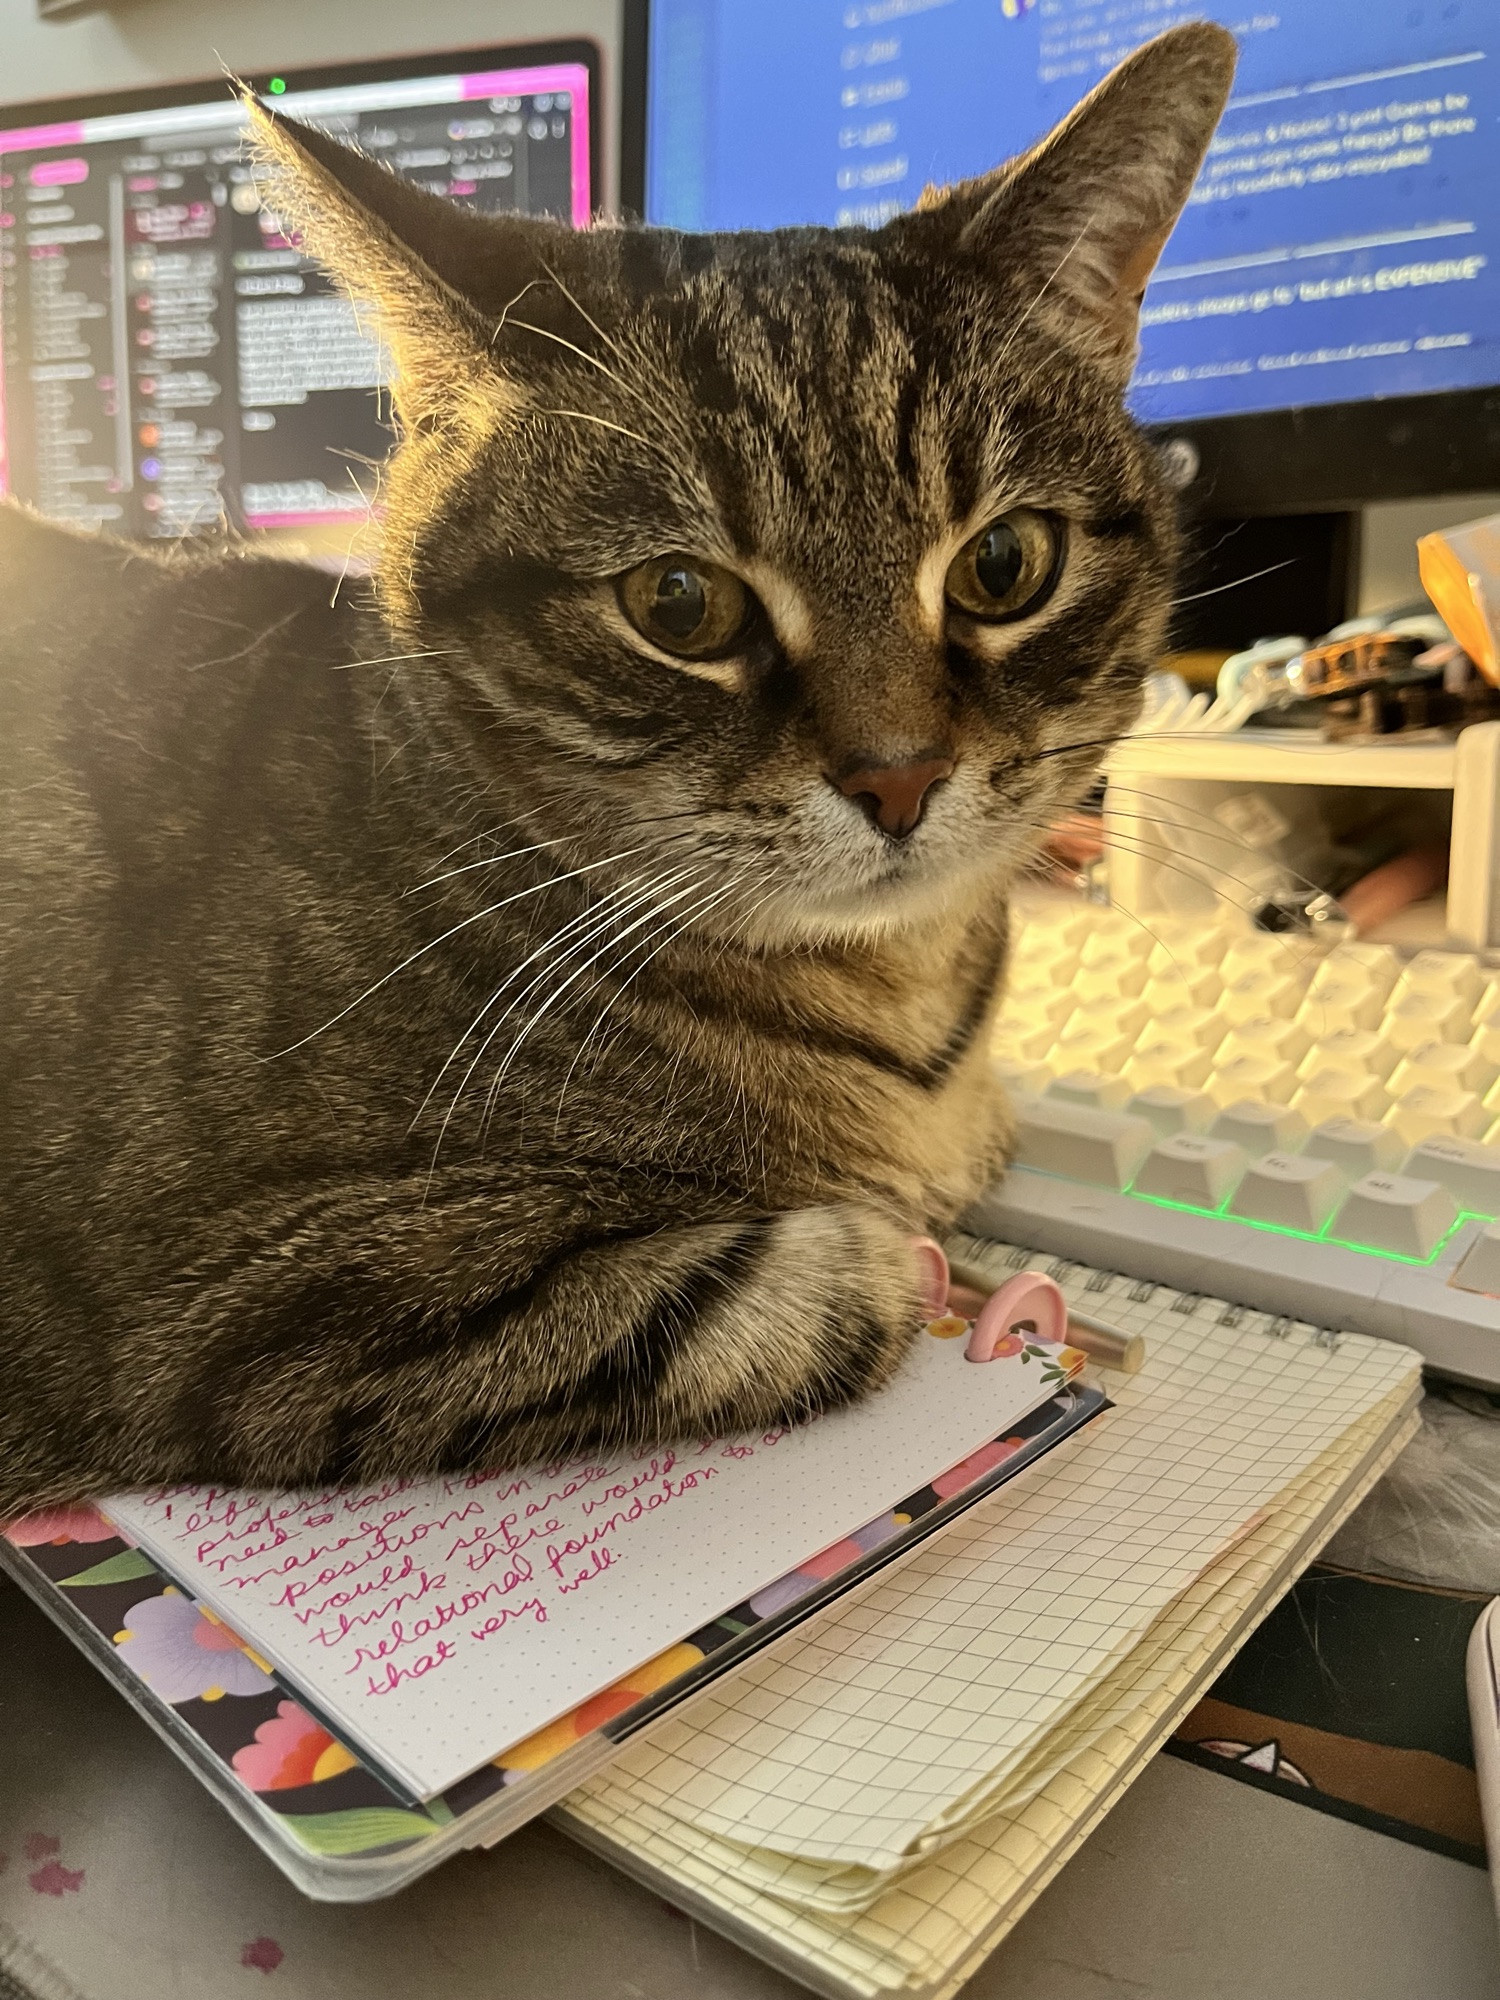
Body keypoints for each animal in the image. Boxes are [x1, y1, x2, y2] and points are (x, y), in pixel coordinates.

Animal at [0, 24, 1234, 1513]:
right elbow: (783, 1288)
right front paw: (910, 1258)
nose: (898, 779)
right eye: (679, 604)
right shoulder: (252, 1288)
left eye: (1004, 565)